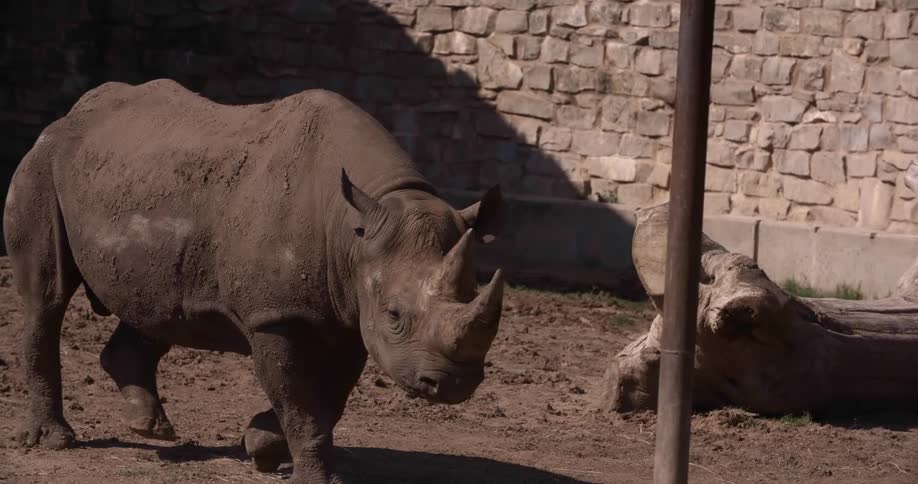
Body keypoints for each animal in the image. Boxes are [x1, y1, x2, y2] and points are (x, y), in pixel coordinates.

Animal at [4, 79, 506, 483]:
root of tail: (67, 116)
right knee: (46, 298)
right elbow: (298, 397)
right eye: (395, 315)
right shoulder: (275, 315)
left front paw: (260, 445)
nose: (453, 385)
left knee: (157, 306)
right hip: (41, 167)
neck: (355, 229)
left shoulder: (349, 311)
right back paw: (54, 440)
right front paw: (313, 475)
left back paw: (151, 427)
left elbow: (329, 398)